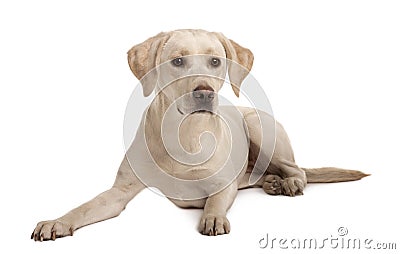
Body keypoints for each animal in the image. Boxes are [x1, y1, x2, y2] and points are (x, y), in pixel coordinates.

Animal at [32, 28, 368, 241]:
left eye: (216, 61)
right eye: (178, 61)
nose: (204, 93)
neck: (184, 136)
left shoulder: (224, 184)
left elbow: (215, 201)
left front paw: (213, 217)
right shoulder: (118, 193)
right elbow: (85, 207)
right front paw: (58, 221)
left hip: (258, 125)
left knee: (298, 170)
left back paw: (289, 183)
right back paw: (272, 182)